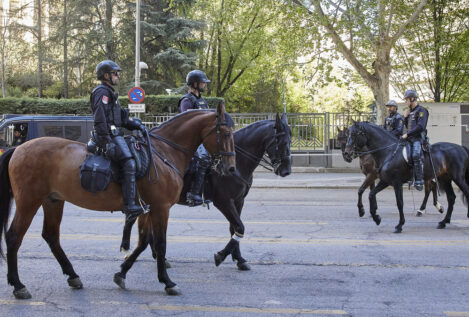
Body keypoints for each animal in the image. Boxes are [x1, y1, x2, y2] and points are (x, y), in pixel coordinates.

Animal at [0, 102, 236, 298]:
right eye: (225, 132)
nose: (231, 168)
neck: (165, 152)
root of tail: (18, 148)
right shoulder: (161, 208)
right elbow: (160, 243)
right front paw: (167, 282)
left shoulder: (148, 209)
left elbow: (143, 241)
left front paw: (122, 273)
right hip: (29, 201)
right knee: (13, 237)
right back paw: (18, 285)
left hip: (53, 201)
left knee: (51, 236)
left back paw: (72, 275)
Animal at [119, 113, 290, 270]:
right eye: (281, 141)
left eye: (289, 140)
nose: (286, 171)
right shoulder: (223, 201)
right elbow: (239, 226)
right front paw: (221, 256)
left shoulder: (238, 201)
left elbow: (234, 228)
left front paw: (239, 258)